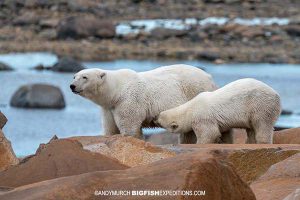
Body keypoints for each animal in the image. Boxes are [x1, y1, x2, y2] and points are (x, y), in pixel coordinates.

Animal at [69, 64, 216, 141]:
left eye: (85, 77)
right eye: (74, 76)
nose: (72, 86)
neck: (116, 90)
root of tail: (209, 76)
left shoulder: (127, 100)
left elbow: (129, 127)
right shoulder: (108, 108)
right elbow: (111, 128)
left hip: (196, 90)